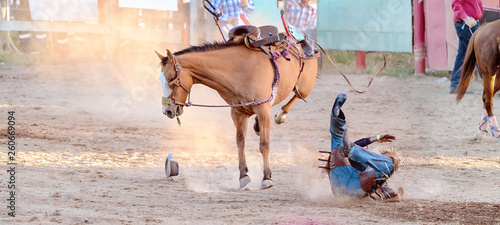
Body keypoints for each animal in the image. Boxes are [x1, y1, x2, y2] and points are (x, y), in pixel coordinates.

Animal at [155, 37, 316, 189]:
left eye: (171, 78)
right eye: (160, 79)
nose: (167, 110)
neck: (241, 70)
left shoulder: (263, 109)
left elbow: (264, 144)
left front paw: (266, 178)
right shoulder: (238, 112)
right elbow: (240, 142)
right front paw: (243, 176)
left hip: (304, 88)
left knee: (296, 96)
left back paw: (281, 115)